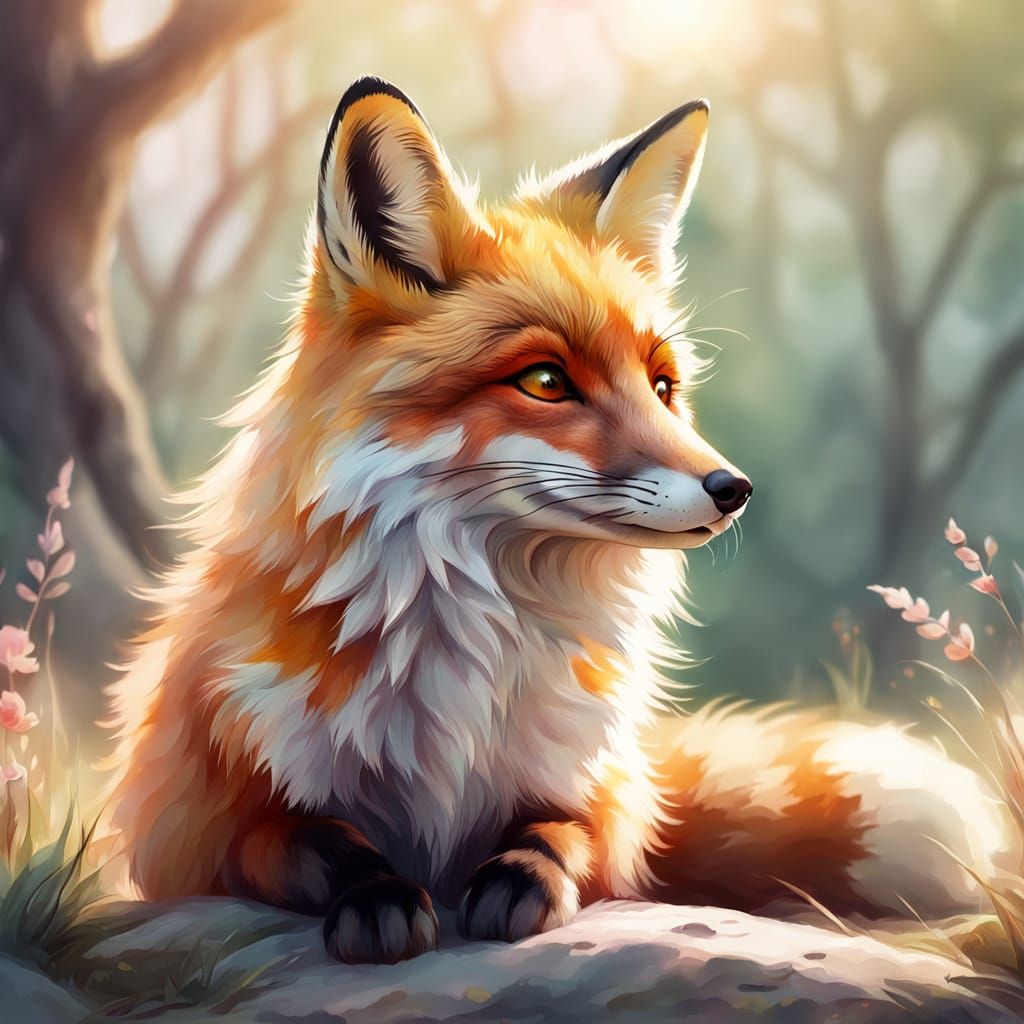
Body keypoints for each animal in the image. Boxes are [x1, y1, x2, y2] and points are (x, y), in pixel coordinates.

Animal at [106, 77, 1013, 965]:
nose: (734, 488)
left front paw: (519, 878)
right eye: (545, 381)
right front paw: (377, 895)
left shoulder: (599, 793)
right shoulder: (193, 826)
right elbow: (312, 838)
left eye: (661, 385)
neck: (468, 651)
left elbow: (558, 831)